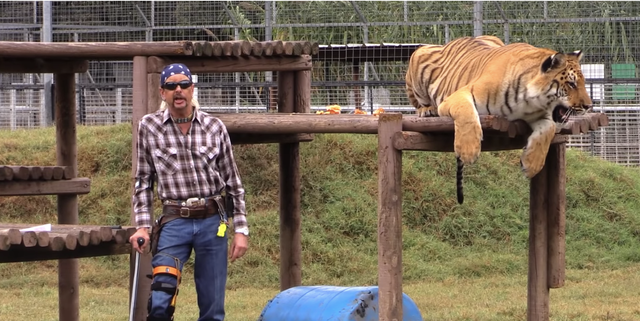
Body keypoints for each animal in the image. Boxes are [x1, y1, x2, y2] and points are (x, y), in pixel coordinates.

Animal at [408, 34, 592, 202]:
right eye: (571, 84)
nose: (589, 106)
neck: (529, 100)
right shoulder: (458, 96)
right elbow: (467, 115)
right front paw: (468, 152)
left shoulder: (543, 117)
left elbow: (548, 131)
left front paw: (531, 166)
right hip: (418, 55)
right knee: (419, 102)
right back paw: (427, 110)